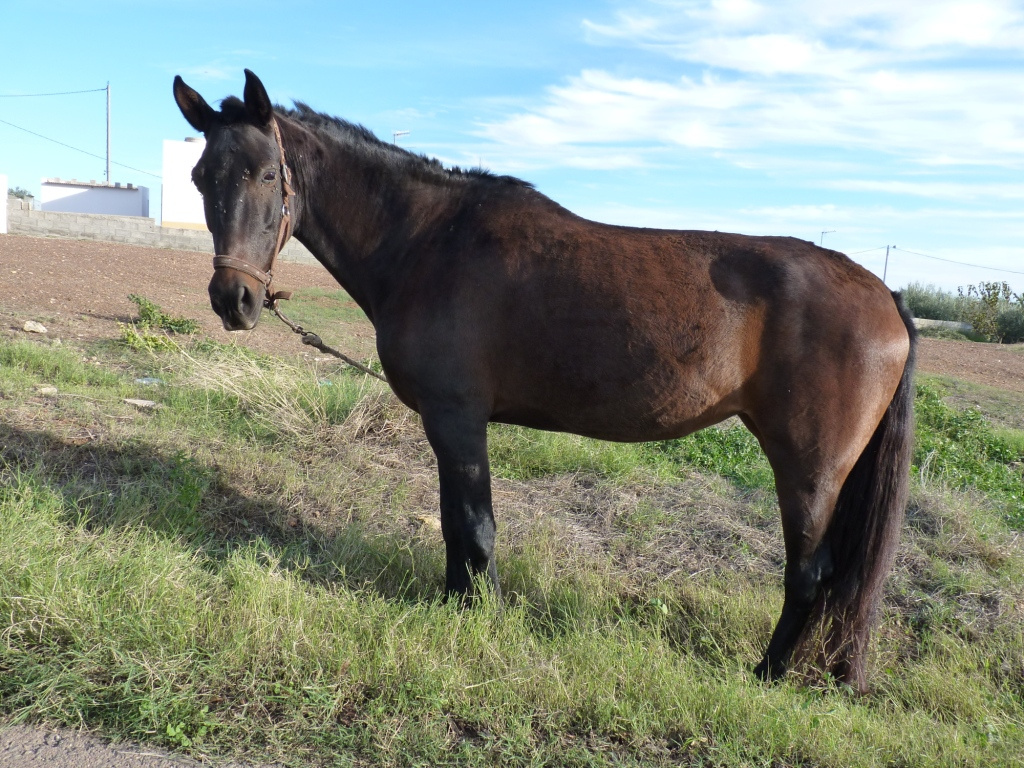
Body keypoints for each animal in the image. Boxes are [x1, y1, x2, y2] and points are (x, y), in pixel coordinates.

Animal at [172, 72, 917, 696]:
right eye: (201, 176)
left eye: (269, 172)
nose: (233, 299)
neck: (430, 242)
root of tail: (884, 294)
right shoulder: (445, 424)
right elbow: (453, 522)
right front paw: (455, 605)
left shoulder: (458, 418)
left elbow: (476, 526)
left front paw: (485, 616)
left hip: (809, 470)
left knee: (810, 574)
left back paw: (767, 674)